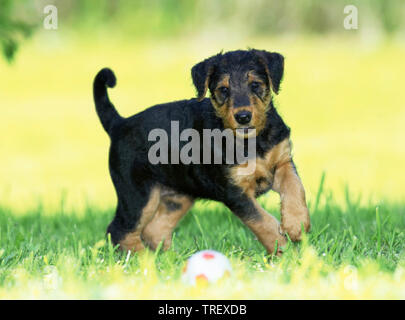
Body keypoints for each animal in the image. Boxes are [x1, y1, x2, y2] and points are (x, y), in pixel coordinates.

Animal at [93, 49, 310, 255]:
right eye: (223, 89)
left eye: (255, 85)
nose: (243, 117)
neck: (252, 140)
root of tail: (119, 124)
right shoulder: (235, 192)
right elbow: (262, 221)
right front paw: (284, 251)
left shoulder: (282, 162)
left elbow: (295, 188)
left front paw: (296, 225)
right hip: (137, 194)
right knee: (120, 230)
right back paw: (144, 260)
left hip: (177, 197)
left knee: (154, 229)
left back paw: (172, 259)